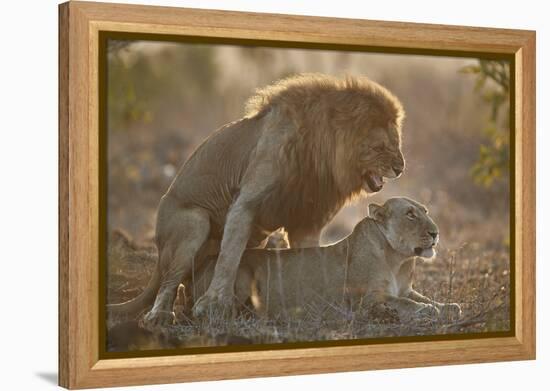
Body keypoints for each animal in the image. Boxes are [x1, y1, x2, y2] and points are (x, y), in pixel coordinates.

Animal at [109, 74, 406, 328]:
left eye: (397, 143)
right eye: (380, 147)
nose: (400, 168)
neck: (319, 153)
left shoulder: (307, 221)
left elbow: (309, 258)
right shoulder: (245, 204)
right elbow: (229, 257)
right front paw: (213, 305)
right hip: (194, 222)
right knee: (168, 282)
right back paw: (159, 316)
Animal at [184, 198, 462, 320]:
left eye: (425, 211)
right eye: (410, 214)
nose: (435, 233)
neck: (398, 260)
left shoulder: (406, 289)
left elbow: (426, 299)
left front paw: (449, 306)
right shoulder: (366, 299)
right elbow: (407, 304)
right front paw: (429, 310)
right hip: (240, 275)